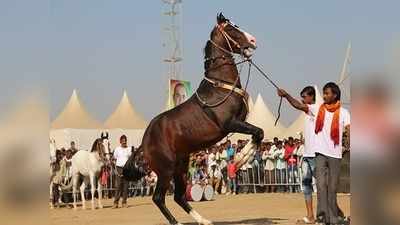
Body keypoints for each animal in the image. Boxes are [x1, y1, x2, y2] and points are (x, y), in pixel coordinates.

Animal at [123, 13, 264, 225]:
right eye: (231, 29)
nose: (253, 41)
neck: (220, 85)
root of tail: (144, 142)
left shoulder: (239, 122)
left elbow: (258, 135)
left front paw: (240, 160)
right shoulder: (230, 124)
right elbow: (258, 132)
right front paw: (239, 160)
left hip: (180, 167)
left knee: (179, 196)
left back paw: (204, 220)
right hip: (166, 170)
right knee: (159, 198)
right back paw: (177, 222)